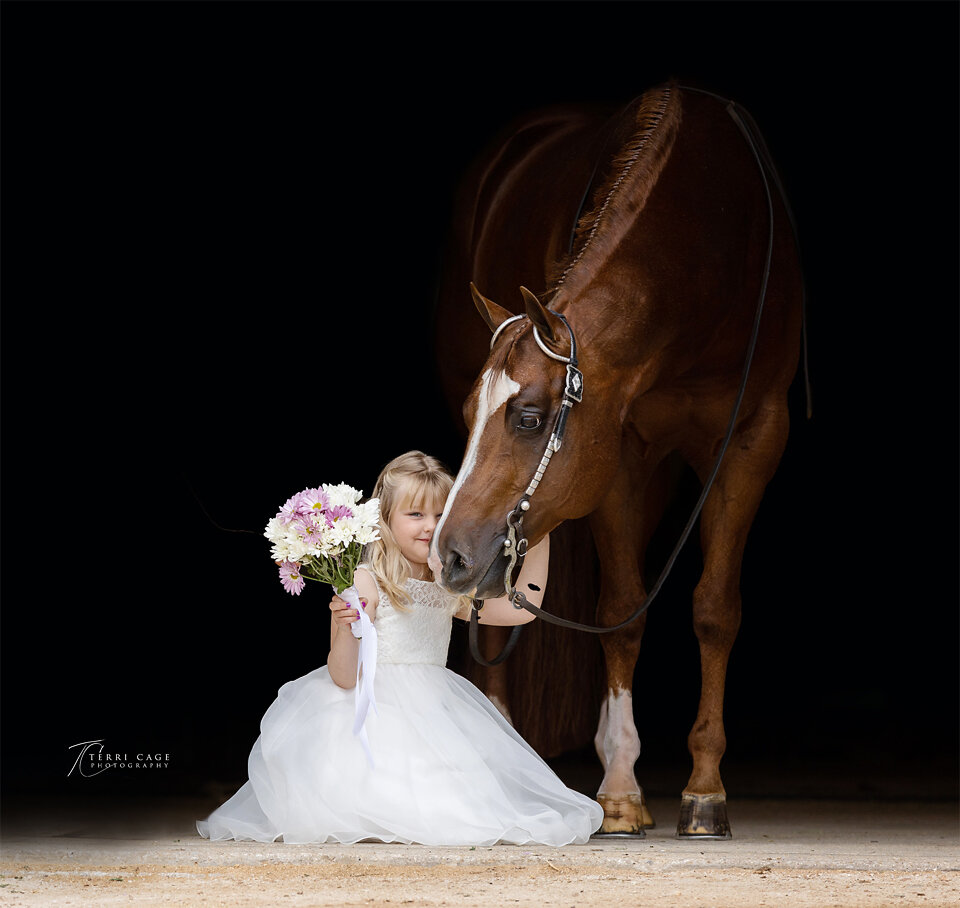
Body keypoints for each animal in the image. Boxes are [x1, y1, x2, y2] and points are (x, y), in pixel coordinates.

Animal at [429, 82, 805, 838]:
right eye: (473, 415)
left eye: (529, 418)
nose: (449, 554)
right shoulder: (617, 447)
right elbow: (626, 609)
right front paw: (623, 788)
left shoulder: (755, 436)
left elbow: (715, 608)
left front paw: (704, 789)